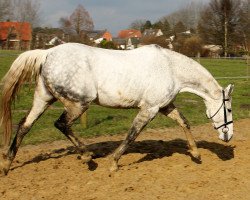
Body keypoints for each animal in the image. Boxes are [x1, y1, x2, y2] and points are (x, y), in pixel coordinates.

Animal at [0, 43, 234, 175]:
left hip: (43, 99)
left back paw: (6, 165)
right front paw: (113, 164)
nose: (229, 135)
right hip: (79, 103)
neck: (171, 69)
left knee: (24, 126)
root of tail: (47, 53)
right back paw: (87, 156)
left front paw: (196, 154)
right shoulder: (149, 109)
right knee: (61, 124)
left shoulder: (165, 106)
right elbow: (131, 136)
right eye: (229, 110)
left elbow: (184, 122)